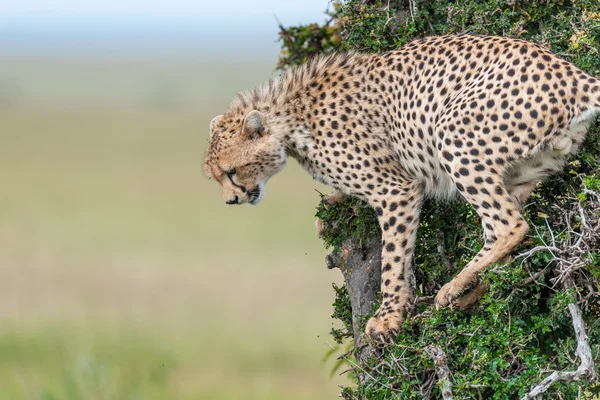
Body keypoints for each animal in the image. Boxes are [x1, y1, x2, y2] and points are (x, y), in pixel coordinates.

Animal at [203, 34, 600, 340]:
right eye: (217, 177)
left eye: (232, 172)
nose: (231, 200)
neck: (290, 119)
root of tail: (575, 74)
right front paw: (331, 204)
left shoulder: (396, 189)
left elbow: (393, 257)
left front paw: (388, 315)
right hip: (526, 168)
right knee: (510, 229)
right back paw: (472, 289)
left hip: (453, 132)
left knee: (509, 225)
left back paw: (454, 286)